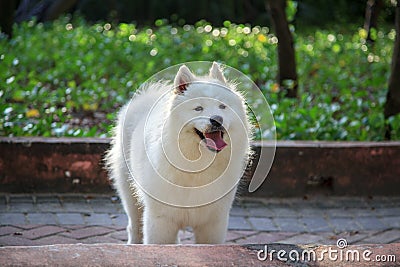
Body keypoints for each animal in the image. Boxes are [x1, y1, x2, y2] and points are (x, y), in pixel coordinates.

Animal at [104, 62, 252, 245]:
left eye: (222, 106)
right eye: (198, 108)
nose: (217, 119)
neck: (198, 165)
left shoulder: (212, 222)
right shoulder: (161, 220)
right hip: (129, 191)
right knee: (134, 225)